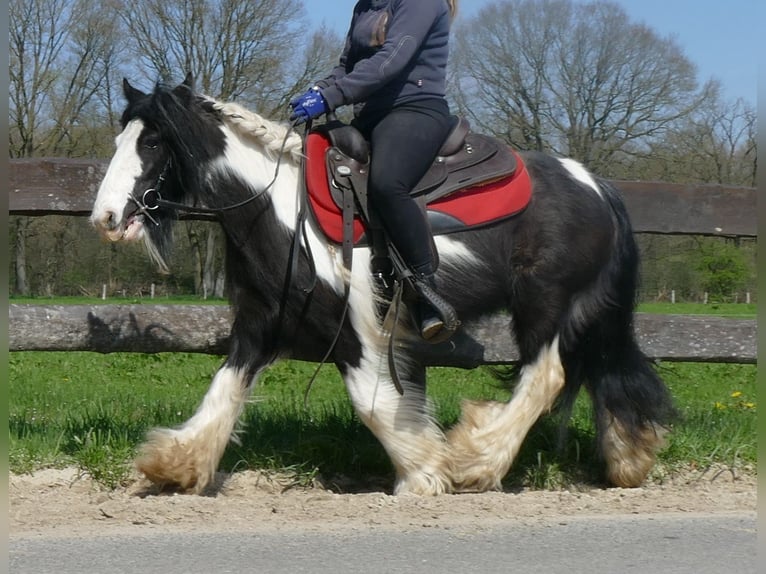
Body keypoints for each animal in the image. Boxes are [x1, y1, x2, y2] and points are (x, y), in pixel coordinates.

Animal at [91, 75, 680, 500]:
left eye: (152, 140)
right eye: (121, 138)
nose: (106, 218)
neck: (279, 208)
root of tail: (596, 185)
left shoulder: (357, 333)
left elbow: (375, 405)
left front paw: (426, 471)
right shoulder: (260, 326)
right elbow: (224, 390)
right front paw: (173, 464)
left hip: (545, 304)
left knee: (545, 376)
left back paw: (477, 459)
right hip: (586, 310)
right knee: (604, 369)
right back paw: (627, 459)